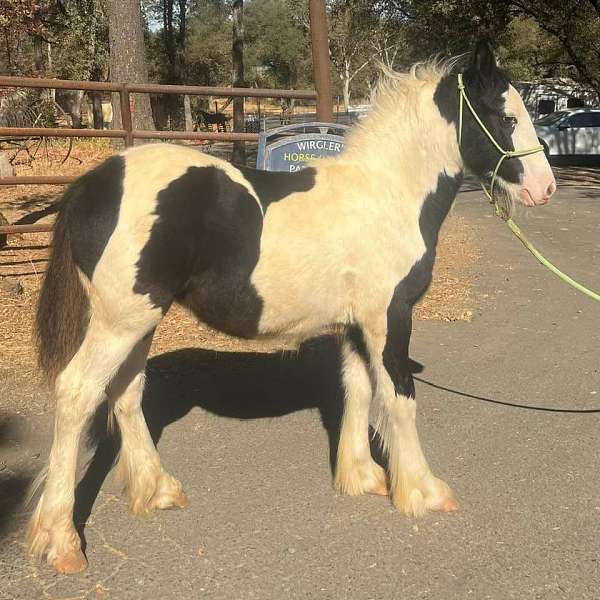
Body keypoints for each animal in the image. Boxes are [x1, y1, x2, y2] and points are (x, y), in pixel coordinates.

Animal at [27, 39, 552, 576]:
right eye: (506, 116)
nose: (545, 187)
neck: (388, 195)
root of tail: (92, 184)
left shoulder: (354, 325)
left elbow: (358, 390)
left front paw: (363, 477)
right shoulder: (389, 318)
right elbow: (399, 398)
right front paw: (423, 491)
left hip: (140, 322)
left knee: (126, 393)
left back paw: (158, 491)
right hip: (120, 322)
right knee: (77, 393)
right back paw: (62, 541)